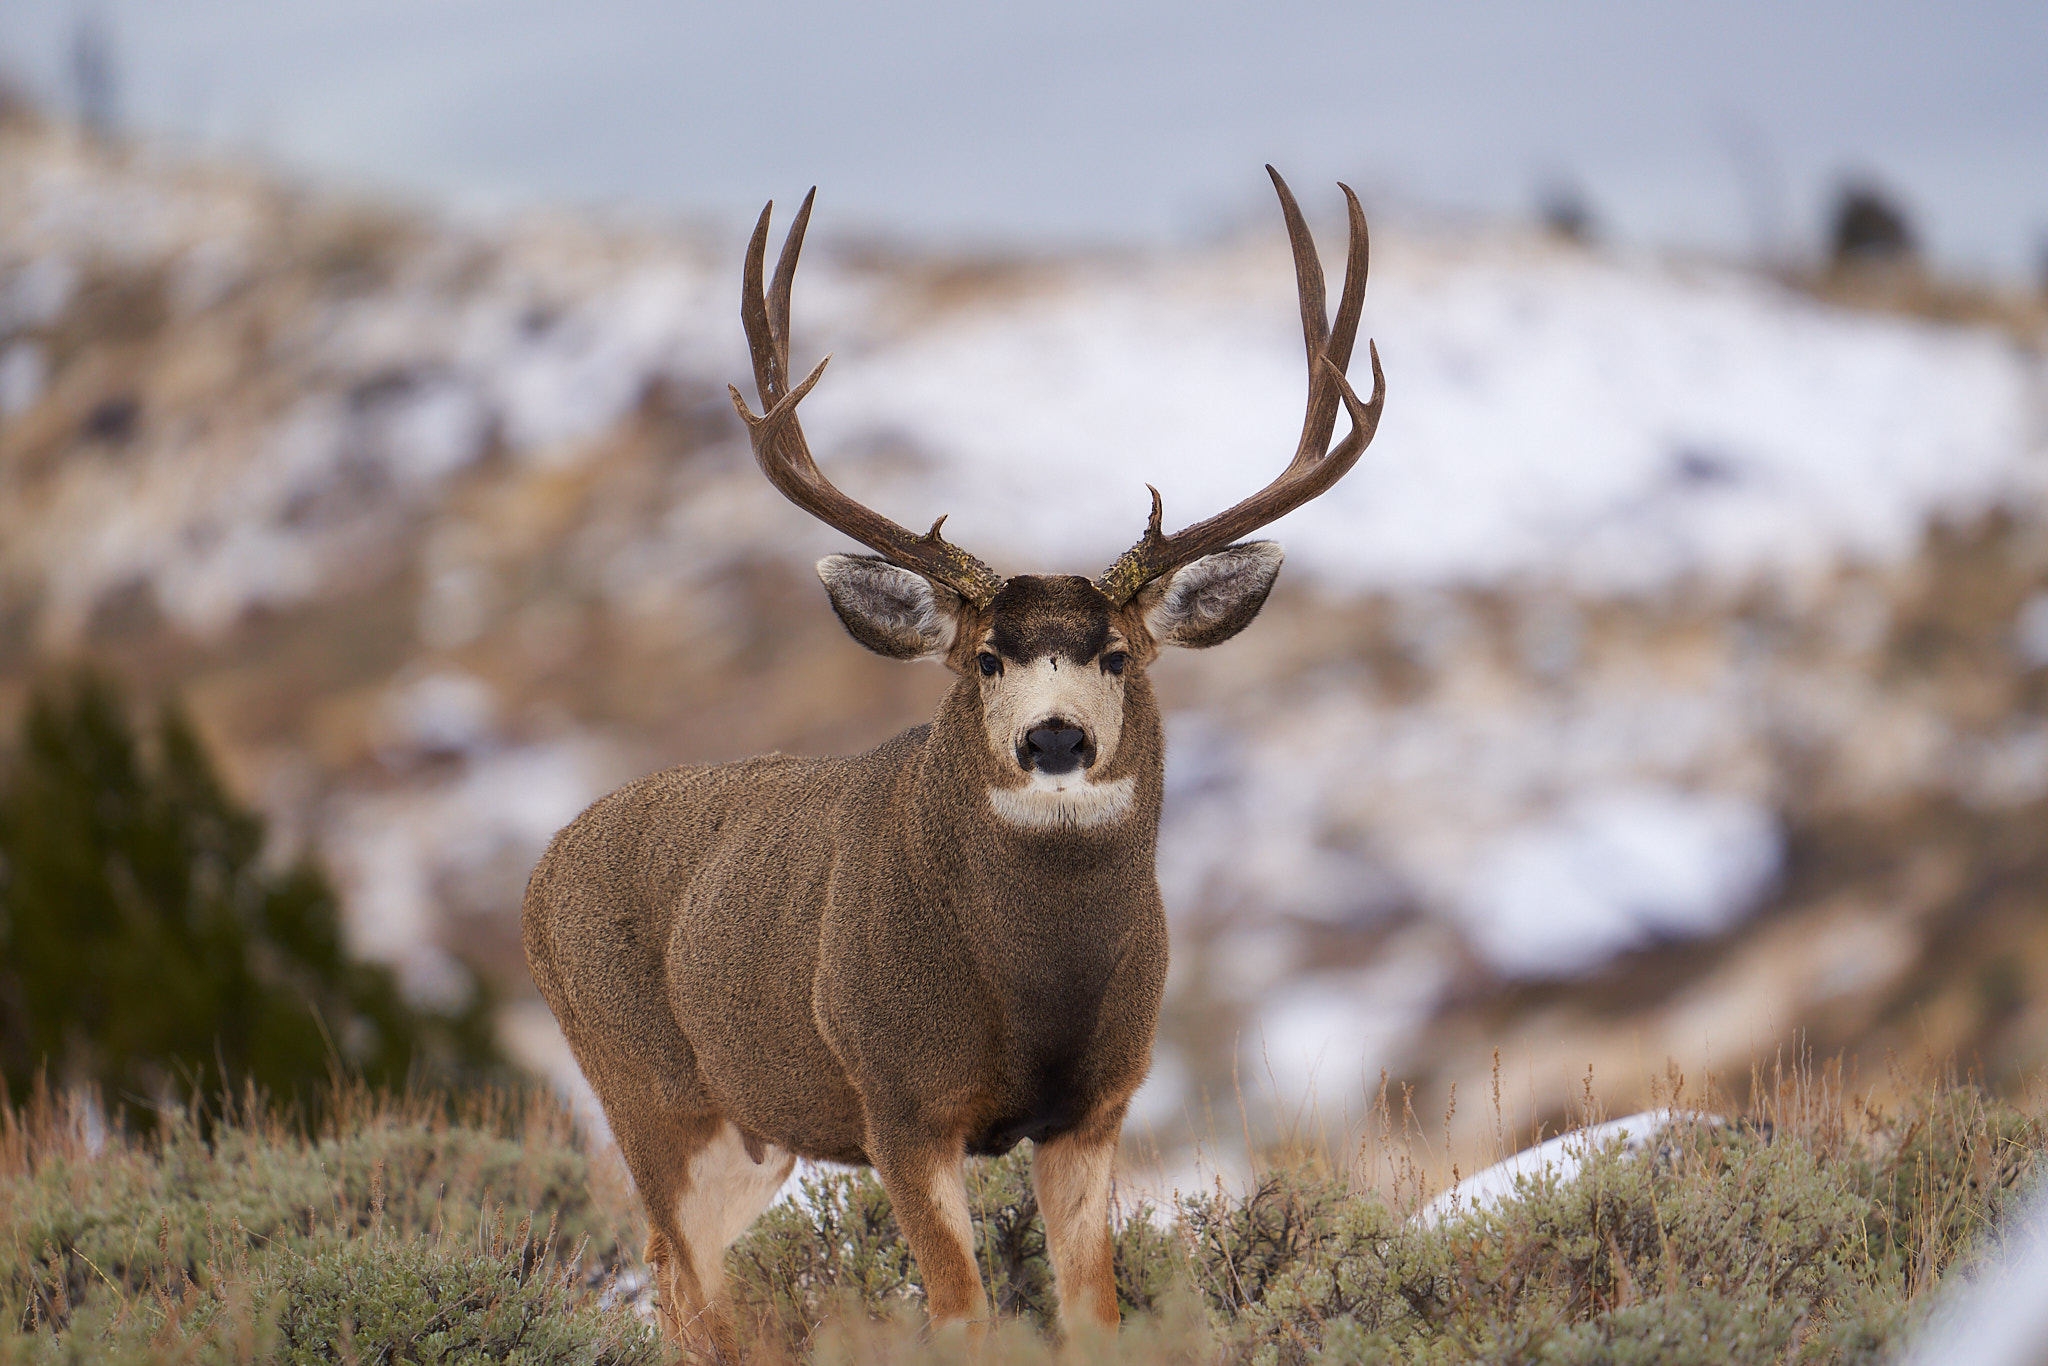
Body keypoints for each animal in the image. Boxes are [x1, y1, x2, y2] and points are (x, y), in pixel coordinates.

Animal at [521, 167, 1383, 1361]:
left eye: (1117, 654)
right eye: (984, 658)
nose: (1054, 737)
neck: (1028, 983)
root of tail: (541, 868)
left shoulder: (1097, 1105)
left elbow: (1092, 1312)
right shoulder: (898, 1099)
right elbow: (962, 1313)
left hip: (752, 1133)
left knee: (674, 1280)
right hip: (647, 1092)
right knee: (698, 1297)